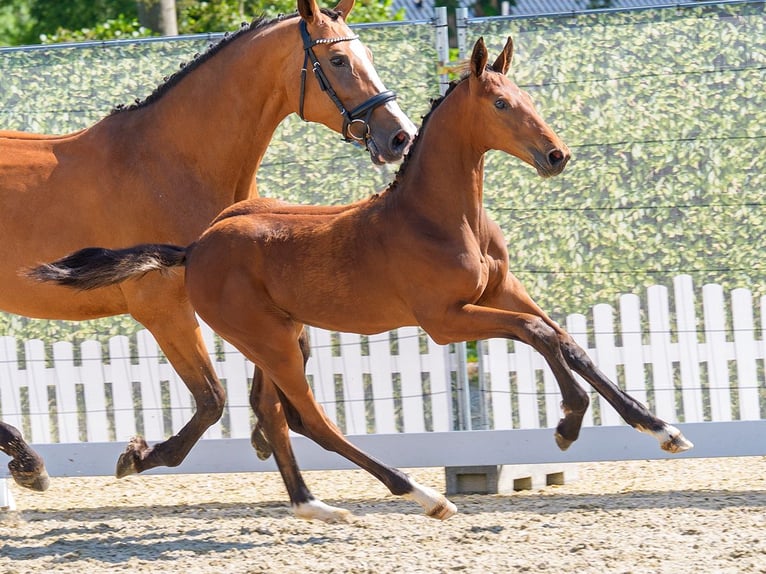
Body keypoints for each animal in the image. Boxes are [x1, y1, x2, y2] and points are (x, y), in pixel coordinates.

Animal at [0, 0, 416, 489]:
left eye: (366, 53)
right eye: (337, 61)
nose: (400, 136)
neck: (172, 163)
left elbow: (288, 360)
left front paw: (264, 430)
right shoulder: (164, 308)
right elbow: (212, 398)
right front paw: (139, 456)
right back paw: (28, 462)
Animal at [31, 36, 694, 521]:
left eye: (524, 94)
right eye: (500, 104)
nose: (557, 156)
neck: (436, 216)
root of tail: (195, 247)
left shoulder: (501, 292)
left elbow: (567, 339)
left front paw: (660, 429)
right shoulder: (447, 320)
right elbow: (539, 334)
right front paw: (567, 423)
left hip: (279, 336)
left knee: (275, 414)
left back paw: (314, 507)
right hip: (269, 339)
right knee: (310, 418)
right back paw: (421, 495)